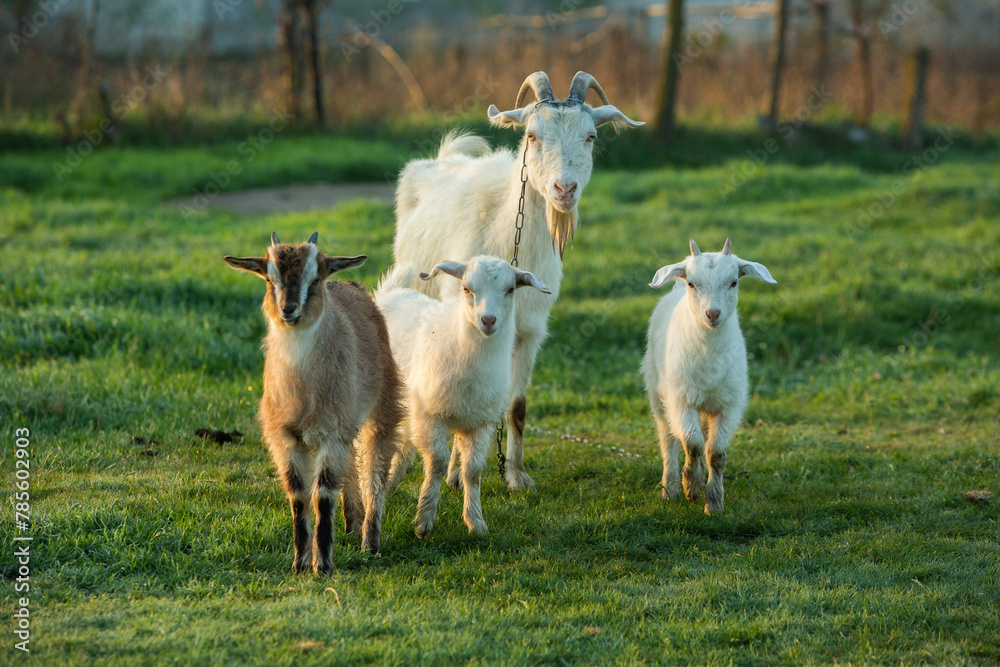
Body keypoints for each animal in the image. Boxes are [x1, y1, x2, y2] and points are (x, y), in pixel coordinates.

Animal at [224, 232, 402, 572]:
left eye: (315, 279)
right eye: (269, 279)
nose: (288, 309)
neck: (303, 391)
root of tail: (348, 284)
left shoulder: (332, 434)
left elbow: (323, 494)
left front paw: (324, 565)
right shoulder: (285, 437)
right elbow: (298, 495)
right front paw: (300, 562)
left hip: (383, 405)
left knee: (374, 467)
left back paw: (370, 540)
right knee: (352, 465)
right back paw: (351, 523)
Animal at [393, 71, 643, 491]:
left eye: (591, 136)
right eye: (531, 135)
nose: (565, 189)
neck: (509, 238)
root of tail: (445, 158)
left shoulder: (529, 329)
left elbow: (517, 405)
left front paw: (517, 474)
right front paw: (456, 475)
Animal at [641, 238, 776, 515]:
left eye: (733, 282)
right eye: (692, 283)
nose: (712, 314)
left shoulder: (729, 405)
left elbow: (715, 453)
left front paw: (713, 502)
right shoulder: (681, 401)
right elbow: (691, 444)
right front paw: (691, 486)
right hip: (658, 393)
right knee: (668, 440)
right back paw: (670, 488)